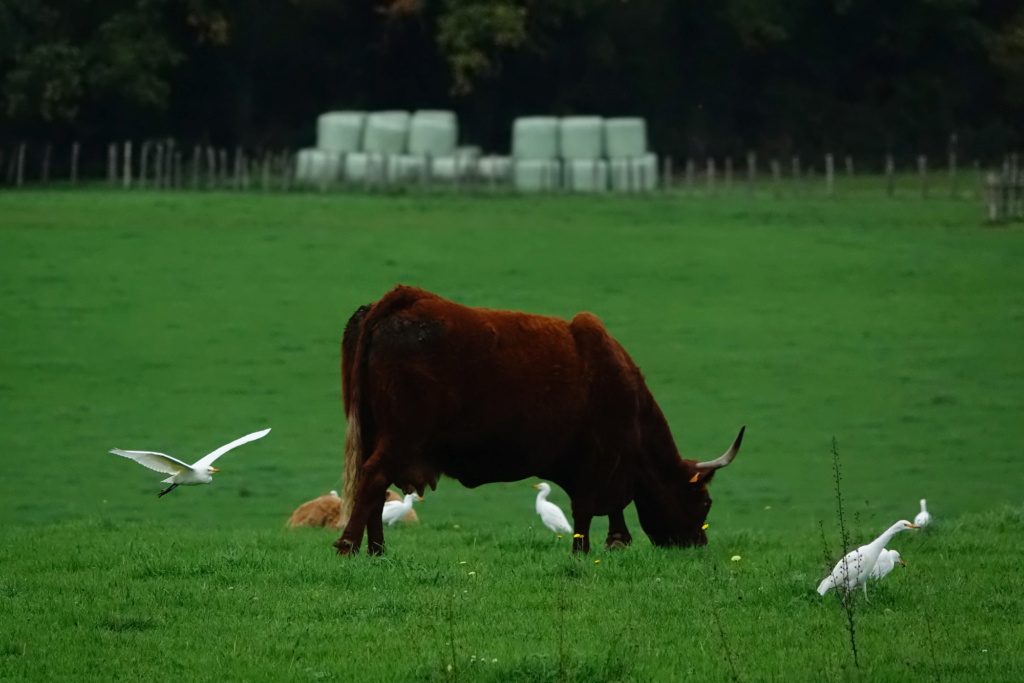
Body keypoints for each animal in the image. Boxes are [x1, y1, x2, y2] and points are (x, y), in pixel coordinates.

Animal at [335, 286, 745, 557]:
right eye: (705, 502)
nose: (698, 545)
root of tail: (404, 298)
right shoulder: (601, 456)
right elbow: (586, 507)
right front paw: (584, 551)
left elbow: (610, 506)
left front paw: (615, 541)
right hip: (400, 438)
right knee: (373, 478)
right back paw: (350, 546)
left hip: (373, 433)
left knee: (373, 487)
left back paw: (376, 549)